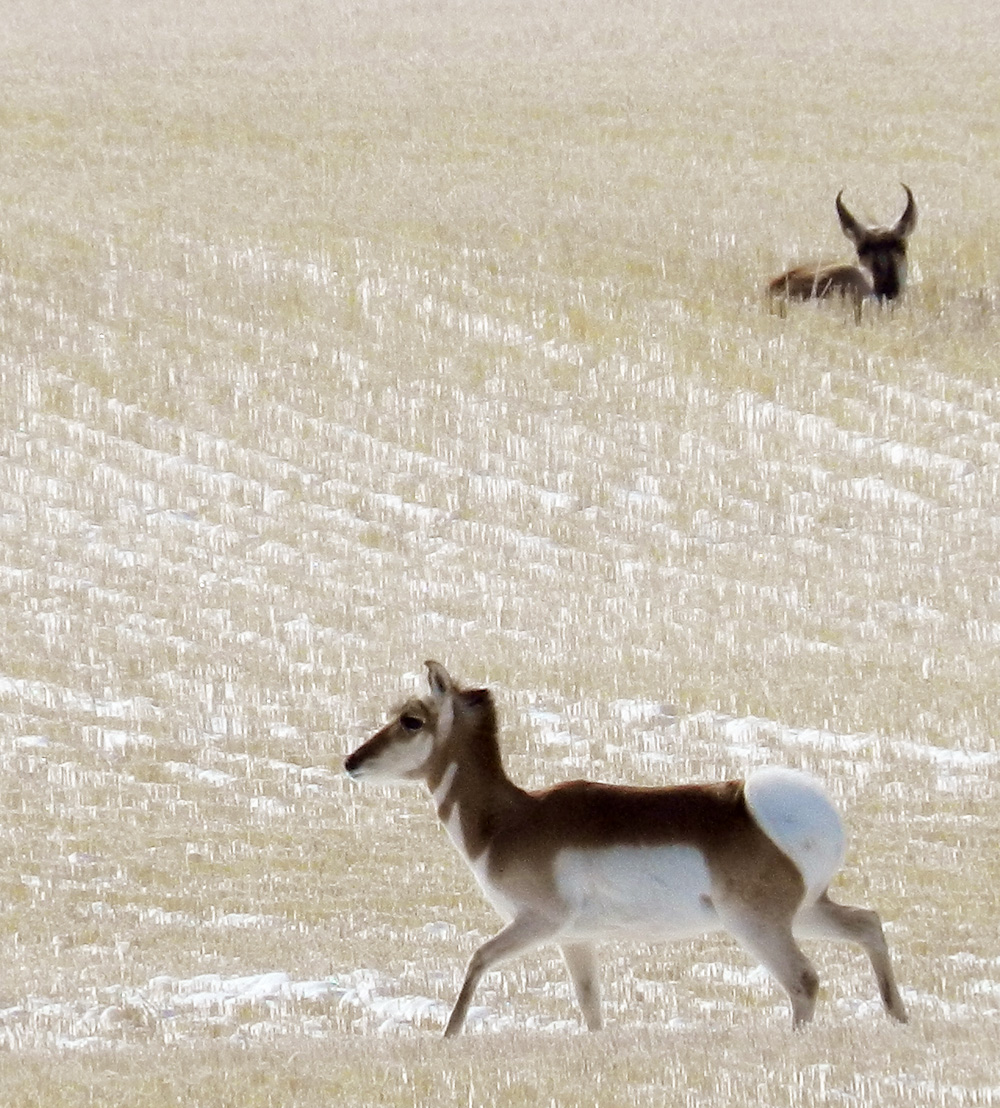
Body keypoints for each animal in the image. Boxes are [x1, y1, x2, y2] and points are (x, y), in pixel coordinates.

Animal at [344, 661, 909, 1036]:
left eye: (411, 719)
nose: (351, 762)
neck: (511, 818)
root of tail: (767, 805)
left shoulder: (538, 923)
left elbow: (477, 959)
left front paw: (448, 1036)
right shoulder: (575, 941)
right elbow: (591, 1009)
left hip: (757, 926)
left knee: (804, 980)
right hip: (807, 912)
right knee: (868, 923)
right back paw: (899, 1019)